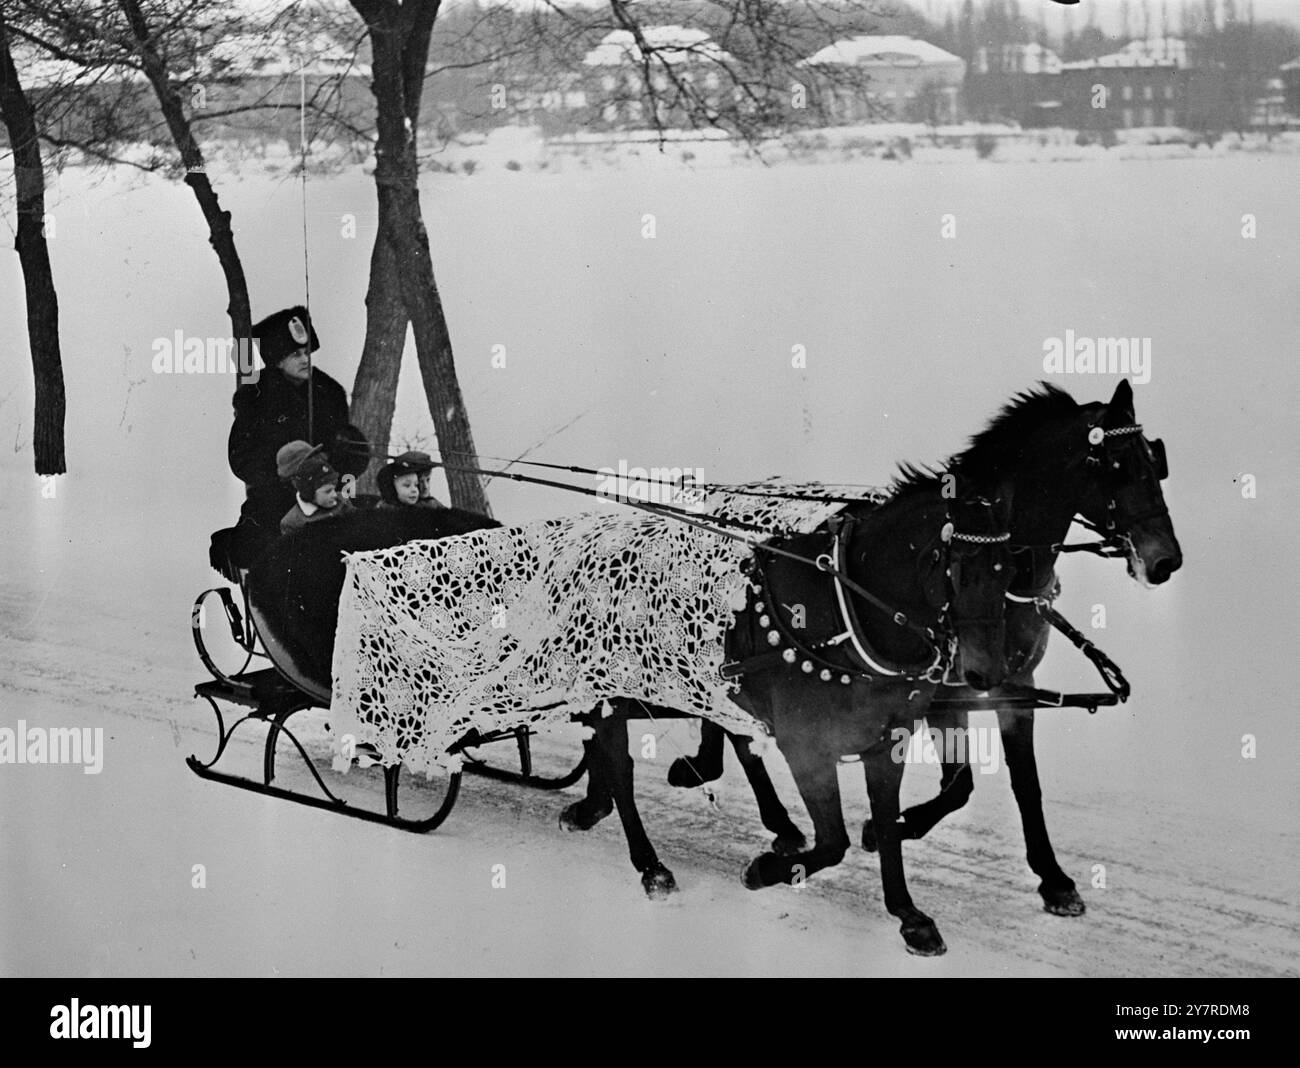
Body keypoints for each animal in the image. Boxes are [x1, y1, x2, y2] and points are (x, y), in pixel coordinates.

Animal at [564, 472, 1019, 956]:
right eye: (960, 567)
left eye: (1009, 570)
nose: (986, 673)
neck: (845, 614)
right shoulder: (806, 747)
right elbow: (834, 842)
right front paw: (762, 871)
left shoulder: (886, 742)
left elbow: (886, 825)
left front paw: (907, 914)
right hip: (609, 685)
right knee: (619, 763)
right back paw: (648, 862)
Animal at [670, 379, 1180, 919]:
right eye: (1118, 466)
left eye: (1156, 460)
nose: (1166, 560)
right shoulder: (942, 697)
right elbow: (960, 784)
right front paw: (888, 829)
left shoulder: (1015, 686)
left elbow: (1023, 783)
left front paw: (1053, 878)